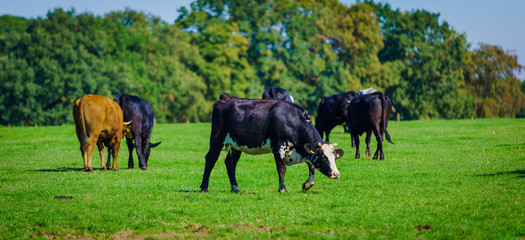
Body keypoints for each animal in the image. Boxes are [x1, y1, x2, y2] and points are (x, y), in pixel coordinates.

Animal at [199, 93, 342, 193]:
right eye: (323, 158)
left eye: (334, 157)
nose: (336, 174)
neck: (292, 122)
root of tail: (227, 97)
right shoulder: (278, 147)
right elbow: (281, 168)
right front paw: (282, 188)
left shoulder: (304, 150)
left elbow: (311, 166)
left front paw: (307, 185)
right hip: (217, 138)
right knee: (210, 159)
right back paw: (204, 187)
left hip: (236, 145)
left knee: (230, 163)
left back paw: (235, 188)